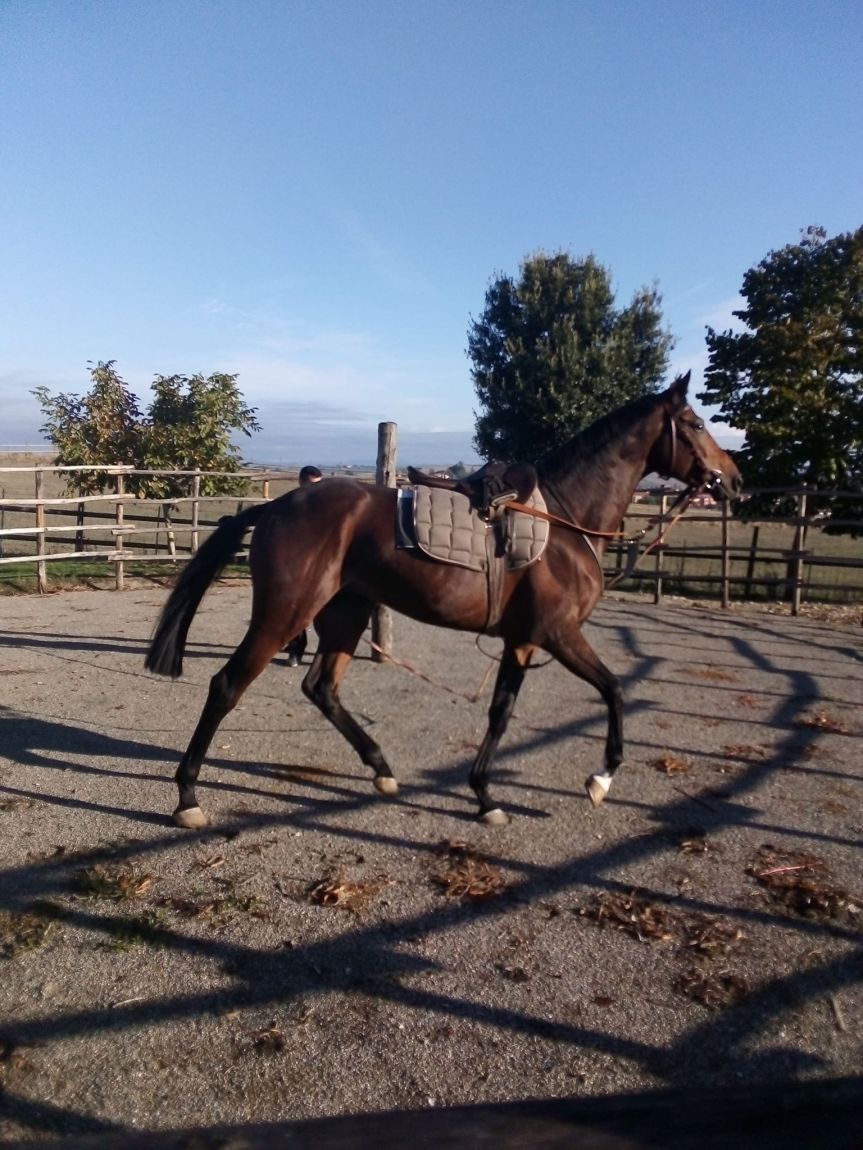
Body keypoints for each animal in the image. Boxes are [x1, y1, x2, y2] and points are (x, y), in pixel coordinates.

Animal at [145, 372, 742, 829]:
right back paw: (187, 798)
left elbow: (502, 712)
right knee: (228, 686)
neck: (566, 520)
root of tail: (276, 506)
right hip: (283, 614)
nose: (733, 479)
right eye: (696, 424)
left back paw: (381, 768)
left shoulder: (522, 640)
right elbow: (615, 690)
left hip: (346, 613)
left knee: (321, 688)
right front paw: (601, 778)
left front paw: (484, 796)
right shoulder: (559, 634)